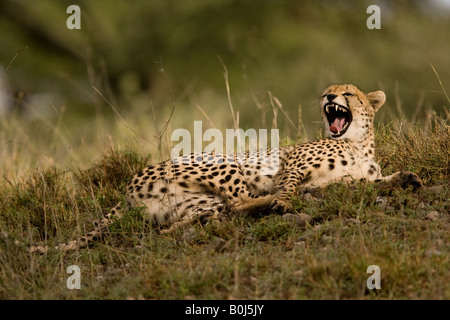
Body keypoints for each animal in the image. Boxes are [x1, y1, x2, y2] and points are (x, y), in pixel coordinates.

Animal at [30, 84, 422, 254]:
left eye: (348, 93)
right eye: (329, 89)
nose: (328, 97)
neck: (356, 143)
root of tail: (127, 187)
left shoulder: (345, 182)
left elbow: (372, 183)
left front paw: (406, 178)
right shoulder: (291, 167)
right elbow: (289, 185)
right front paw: (283, 199)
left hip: (193, 206)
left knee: (183, 225)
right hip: (223, 161)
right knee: (240, 201)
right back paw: (270, 204)